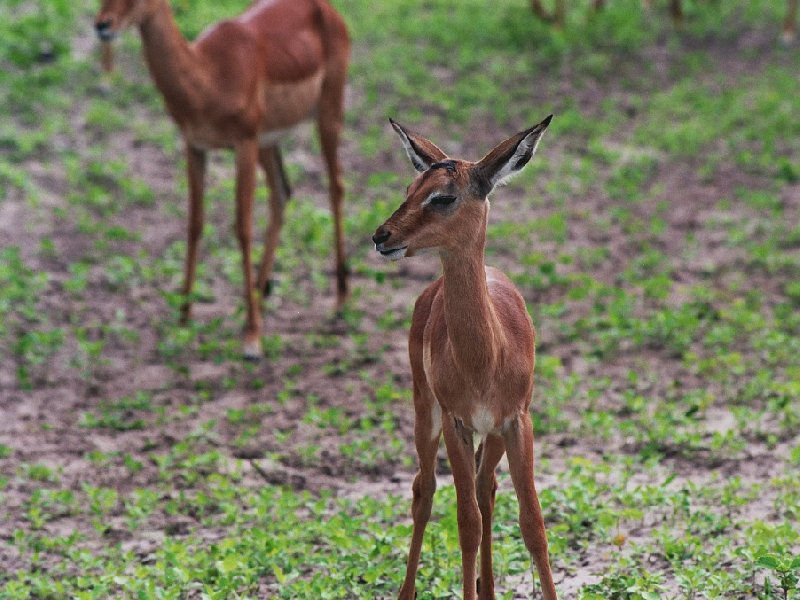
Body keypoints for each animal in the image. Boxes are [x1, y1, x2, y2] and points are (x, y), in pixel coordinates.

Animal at [92, 0, 348, 356]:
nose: (103, 25)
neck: (208, 76)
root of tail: (324, 9)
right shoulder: (195, 147)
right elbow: (194, 224)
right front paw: (183, 317)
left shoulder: (244, 144)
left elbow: (242, 229)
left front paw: (252, 338)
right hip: (269, 142)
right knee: (282, 194)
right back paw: (259, 293)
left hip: (326, 113)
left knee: (335, 187)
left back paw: (338, 302)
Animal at [374, 115, 556, 596]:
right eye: (410, 188)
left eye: (443, 196)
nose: (381, 236)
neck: (485, 359)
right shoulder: (457, 423)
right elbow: (466, 523)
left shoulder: (516, 422)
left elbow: (533, 524)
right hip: (427, 413)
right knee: (424, 491)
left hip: (489, 435)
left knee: (485, 488)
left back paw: (487, 587)